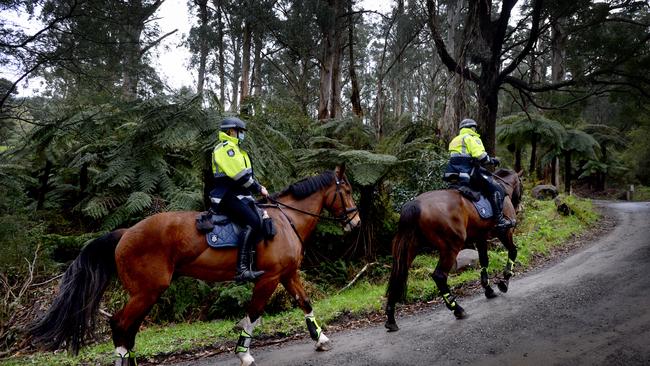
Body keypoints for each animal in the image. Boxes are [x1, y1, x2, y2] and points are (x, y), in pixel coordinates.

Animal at [29, 167, 360, 366]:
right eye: (346, 191)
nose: (355, 222)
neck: (285, 220)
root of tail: (125, 233)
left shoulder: (288, 274)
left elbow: (305, 303)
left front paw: (321, 339)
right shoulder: (268, 278)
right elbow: (253, 315)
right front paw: (243, 354)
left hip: (146, 293)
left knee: (128, 326)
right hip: (147, 291)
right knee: (121, 323)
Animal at [384, 169, 520, 332]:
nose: (518, 206)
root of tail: (415, 203)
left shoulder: (480, 238)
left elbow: (484, 261)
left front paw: (488, 289)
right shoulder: (505, 232)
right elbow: (513, 252)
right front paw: (504, 282)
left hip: (410, 247)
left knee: (397, 276)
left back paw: (391, 319)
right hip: (451, 247)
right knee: (439, 276)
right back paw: (457, 309)